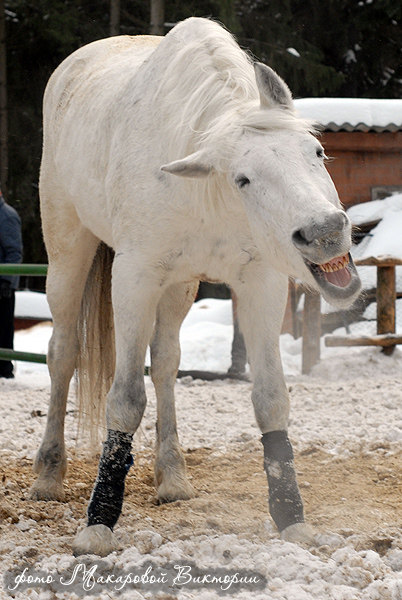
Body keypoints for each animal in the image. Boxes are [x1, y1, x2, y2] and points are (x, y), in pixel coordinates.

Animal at [31, 15, 362, 556]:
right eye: (244, 178)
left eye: (316, 151)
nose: (325, 232)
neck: (211, 194)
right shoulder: (134, 278)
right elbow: (125, 400)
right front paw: (99, 523)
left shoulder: (260, 285)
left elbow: (270, 398)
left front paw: (291, 519)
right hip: (67, 252)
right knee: (63, 354)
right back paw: (47, 474)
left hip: (179, 287)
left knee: (166, 363)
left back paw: (173, 476)